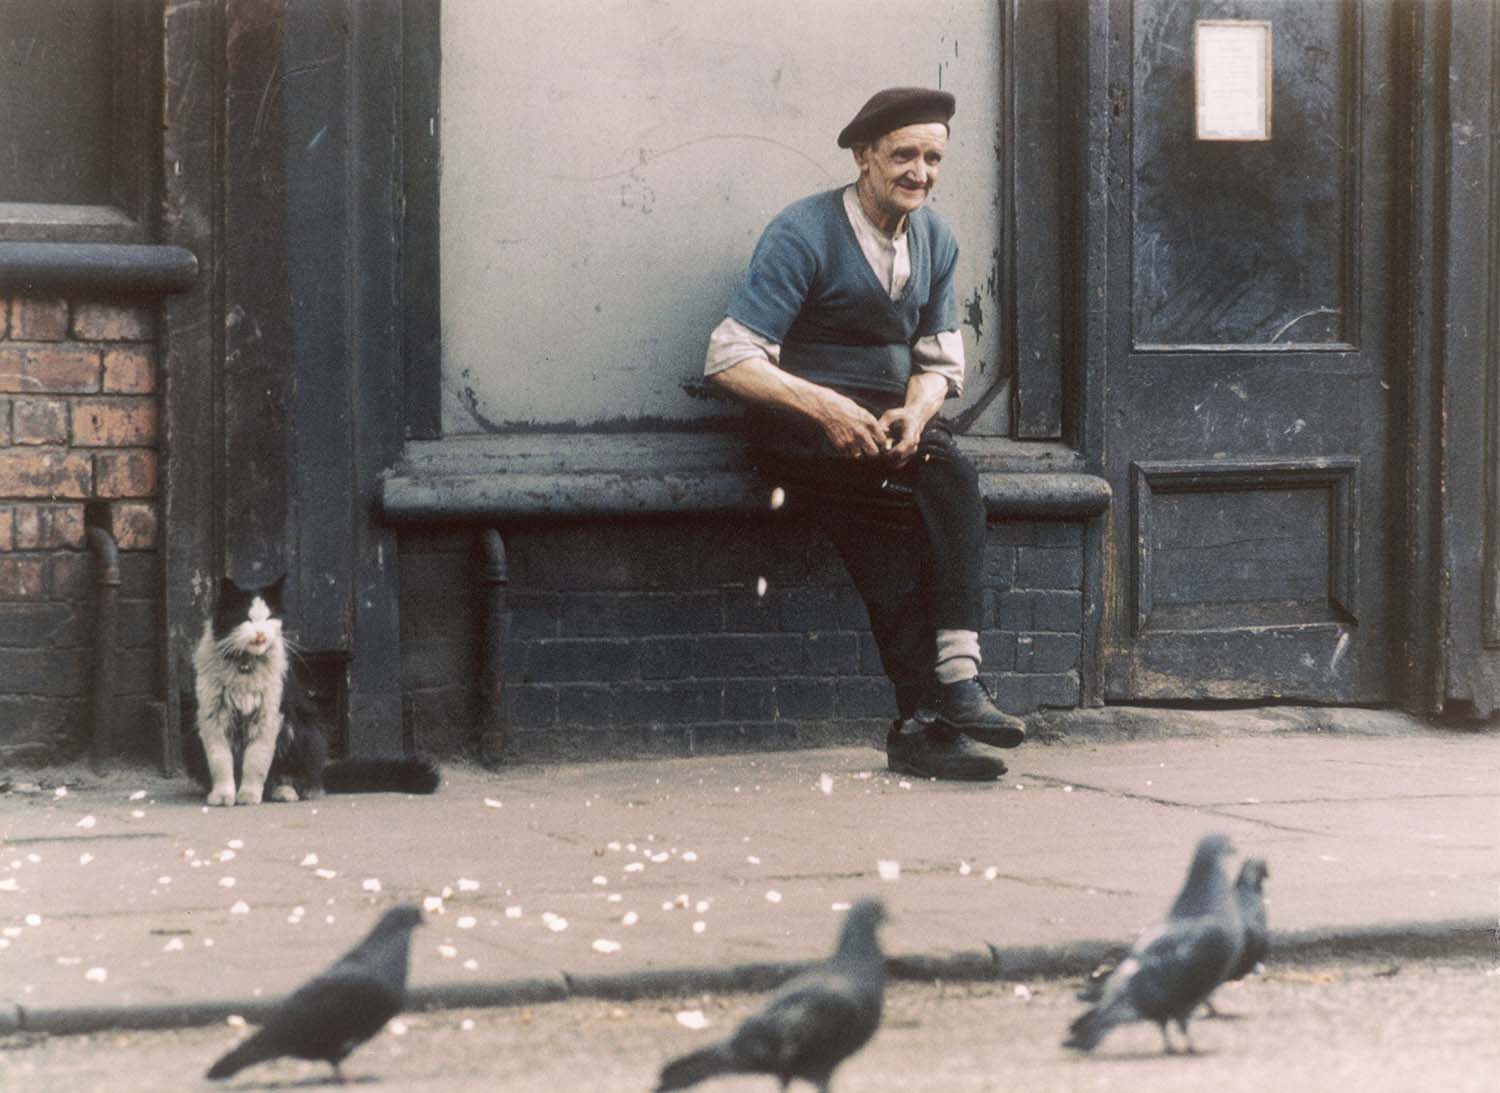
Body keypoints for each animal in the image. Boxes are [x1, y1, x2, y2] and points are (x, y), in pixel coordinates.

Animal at [189, 575, 438, 803]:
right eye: (246, 619)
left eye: (269, 618)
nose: (260, 634)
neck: (246, 666)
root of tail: (321, 775)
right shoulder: (212, 716)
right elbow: (220, 761)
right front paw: (223, 796)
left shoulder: (270, 716)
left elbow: (256, 761)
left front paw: (249, 795)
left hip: (302, 729)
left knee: (293, 779)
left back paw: (285, 792)